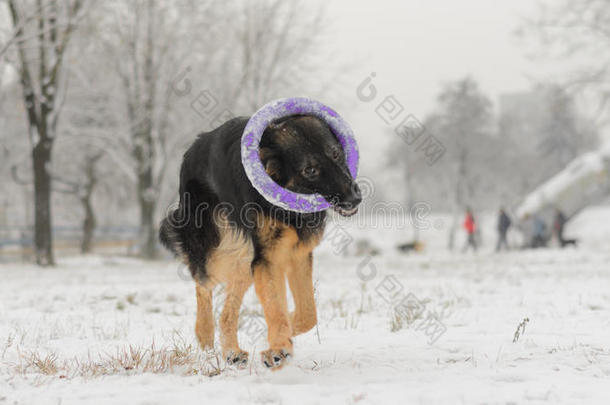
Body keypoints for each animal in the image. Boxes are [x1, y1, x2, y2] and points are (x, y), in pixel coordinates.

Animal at [160, 113, 360, 370]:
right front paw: (280, 347)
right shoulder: (269, 258)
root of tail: (194, 147)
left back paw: (232, 352)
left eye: (335, 154)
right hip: (214, 249)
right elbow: (276, 309)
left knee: (226, 313)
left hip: (245, 262)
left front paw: (287, 332)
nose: (355, 198)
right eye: (310, 170)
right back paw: (204, 335)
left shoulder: (296, 255)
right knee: (202, 283)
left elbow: (307, 313)